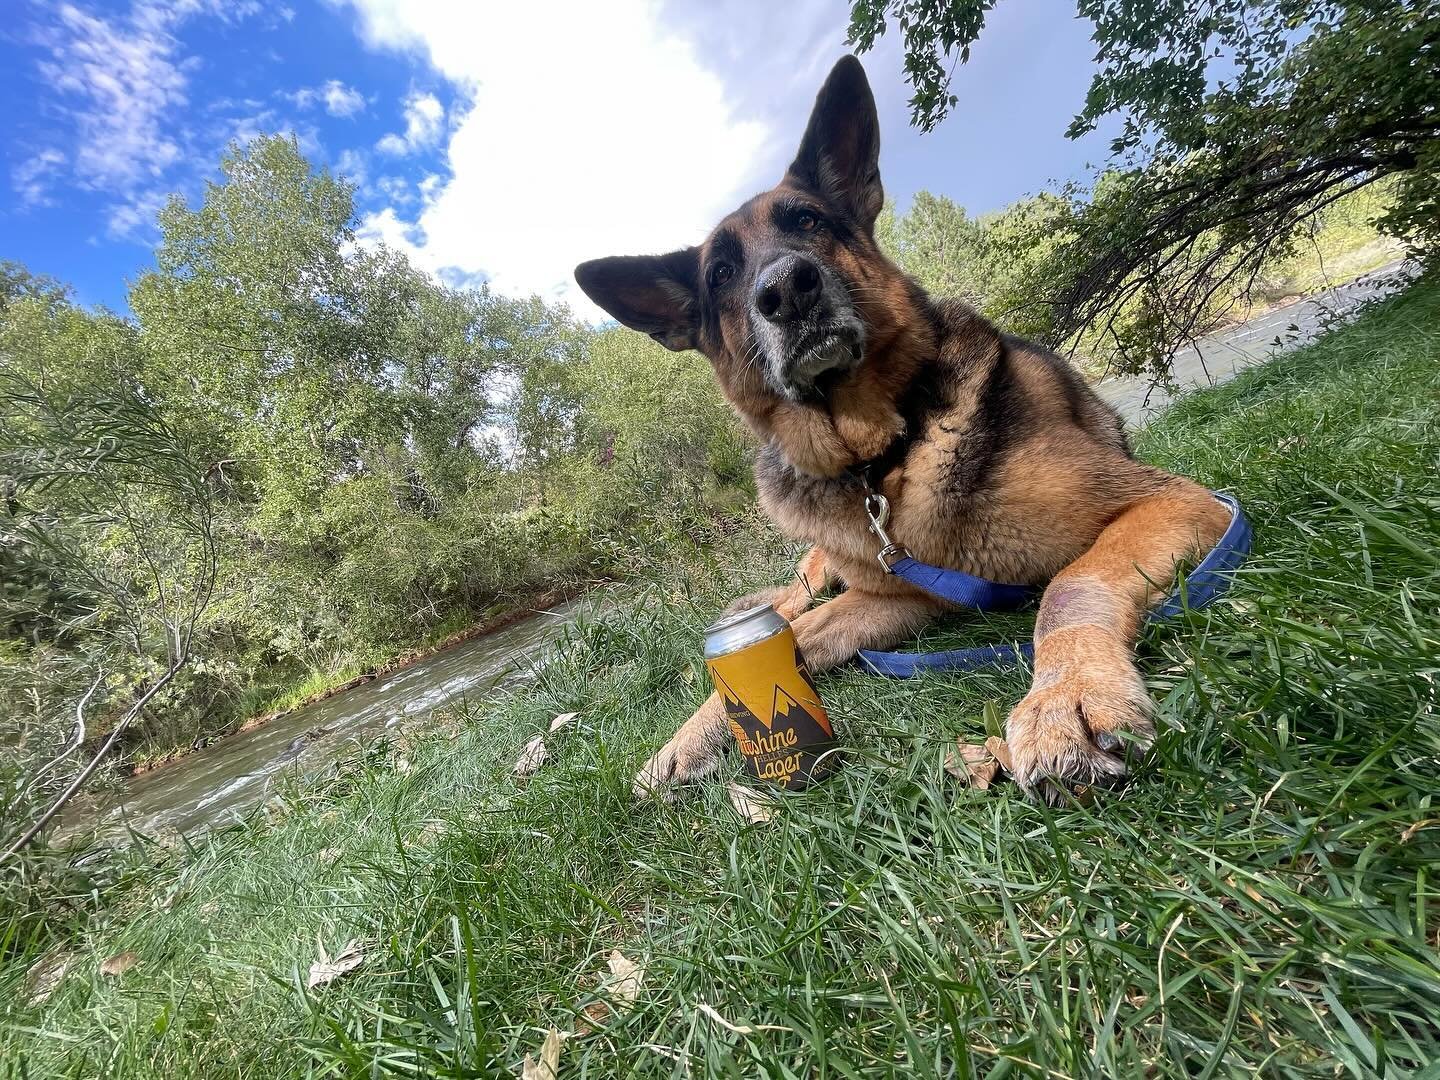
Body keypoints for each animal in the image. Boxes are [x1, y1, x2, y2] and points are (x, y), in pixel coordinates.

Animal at [573, 57, 1226, 806]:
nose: (787, 289)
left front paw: (1068, 701)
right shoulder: (888, 597)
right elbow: (798, 633)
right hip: (821, 565)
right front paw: (687, 737)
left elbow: (1072, 583)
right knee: (795, 597)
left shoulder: (1168, 501)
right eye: (720, 273)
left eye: (808, 220)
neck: (882, 457)